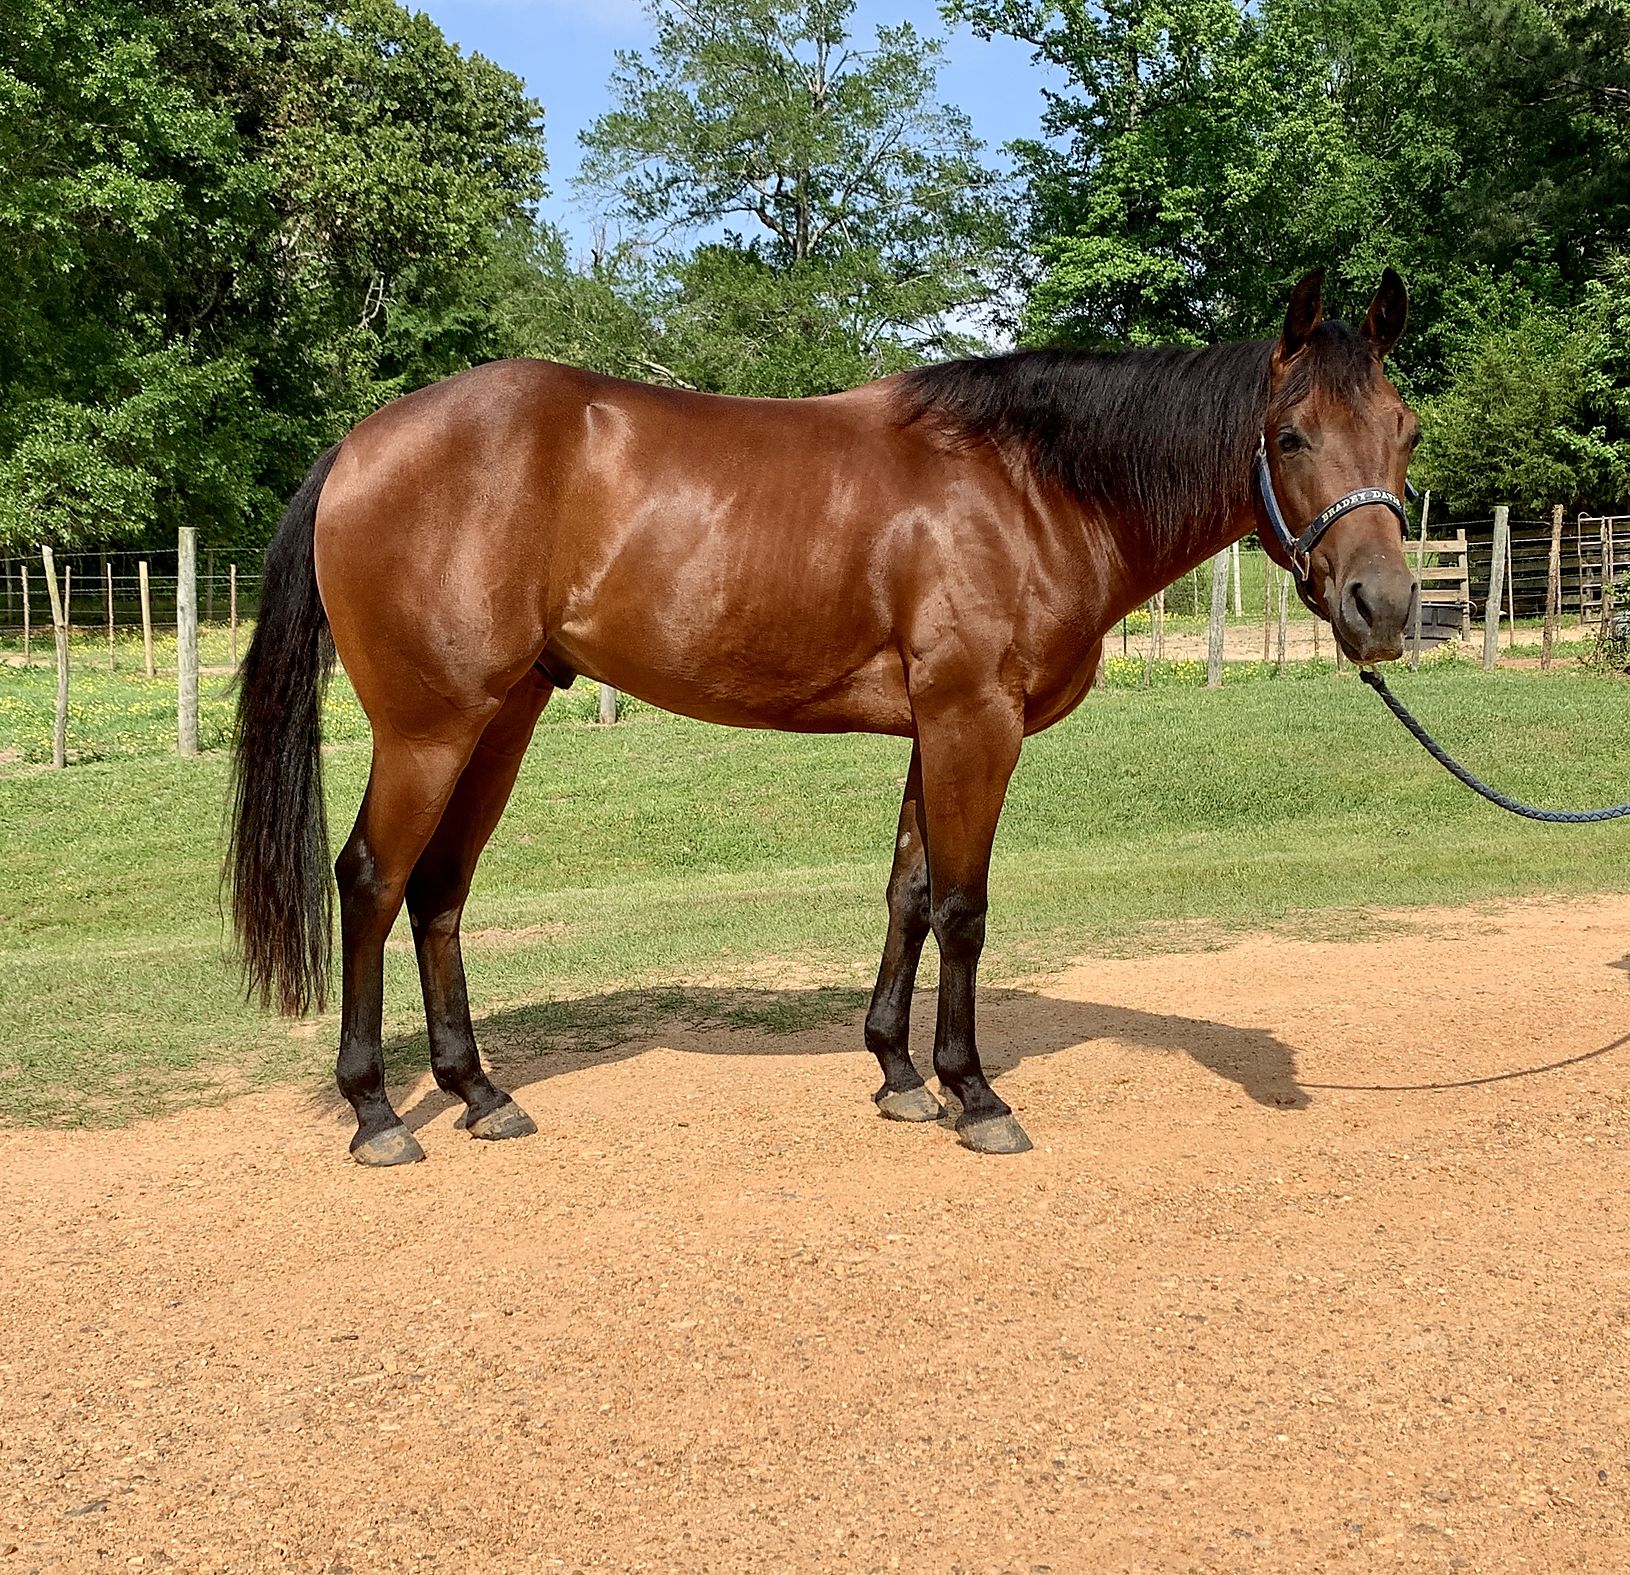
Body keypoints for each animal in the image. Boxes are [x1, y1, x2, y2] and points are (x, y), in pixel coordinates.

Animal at [228, 266, 1419, 1165]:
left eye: (1403, 429)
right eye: (1291, 434)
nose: (1385, 607)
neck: (1029, 485)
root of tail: (363, 444)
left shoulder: (935, 730)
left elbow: (907, 894)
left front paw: (897, 1072)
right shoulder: (975, 723)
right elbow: (963, 909)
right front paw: (973, 1093)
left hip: (502, 719)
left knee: (439, 890)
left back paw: (478, 1092)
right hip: (429, 728)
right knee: (372, 882)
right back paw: (378, 1113)